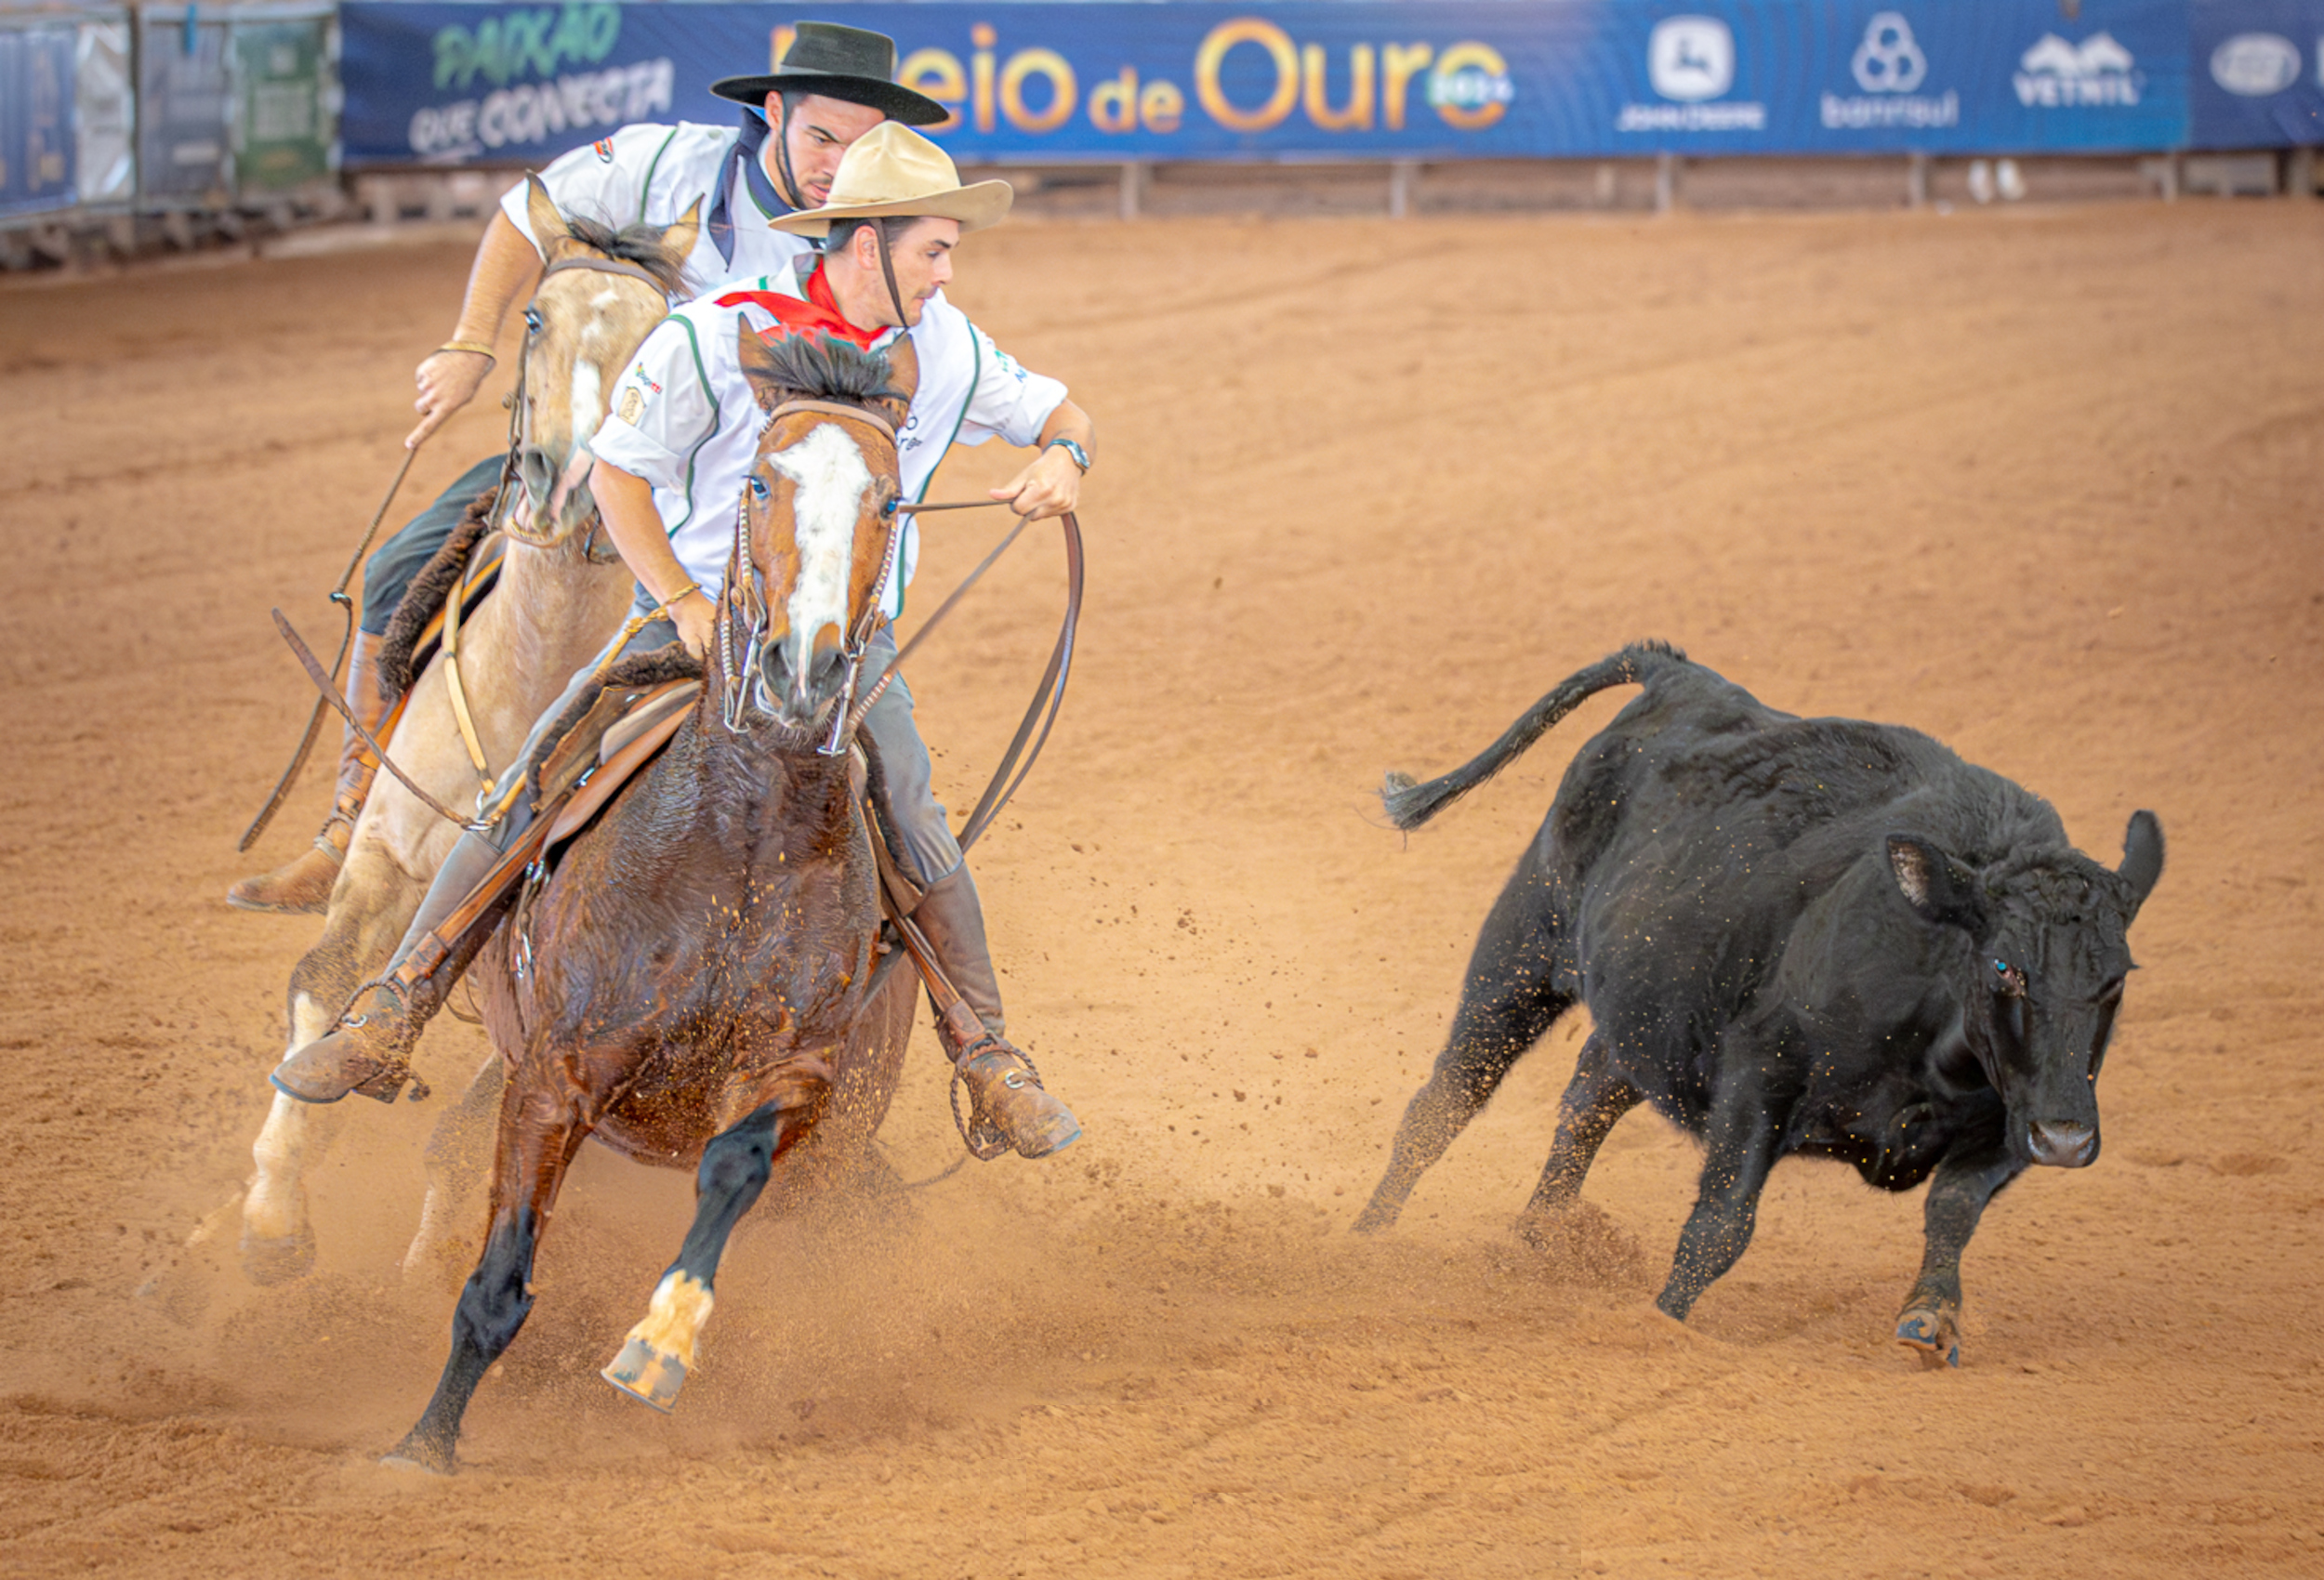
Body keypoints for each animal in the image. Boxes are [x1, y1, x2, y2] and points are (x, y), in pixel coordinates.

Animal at [239, 175, 702, 1283]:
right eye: (533, 315)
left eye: (660, 337)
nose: (564, 476)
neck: (524, 683)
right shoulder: (383, 863)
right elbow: (319, 991)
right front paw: (271, 1215)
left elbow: (465, 1128)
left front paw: (427, 1264)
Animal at [383, 327, 925, 1478]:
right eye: (759, 479)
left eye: (891, 498)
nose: (802, 670)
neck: (741, 839)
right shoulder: (555, 1072)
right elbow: (498, 1280)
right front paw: (424, 1441)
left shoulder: (795, 1071)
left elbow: (730, 1166)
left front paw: (658, 1346)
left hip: (838, 1157)